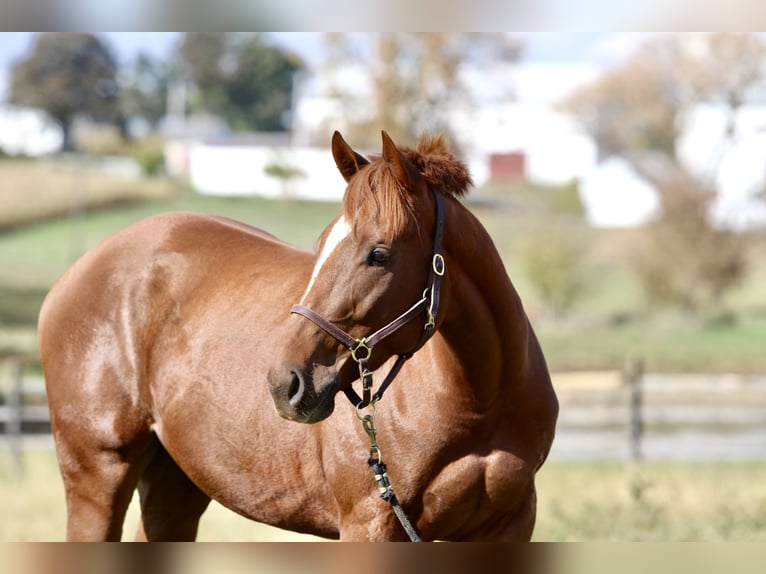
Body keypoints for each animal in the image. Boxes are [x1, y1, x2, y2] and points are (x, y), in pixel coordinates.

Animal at [39, 133, 560, 544]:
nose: (285, 382)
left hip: (176, 482)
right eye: (320, 245)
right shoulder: (370, 523)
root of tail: (73, 276)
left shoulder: (511, 527)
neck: (479, 402)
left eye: (378, 254)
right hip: (97, 475)